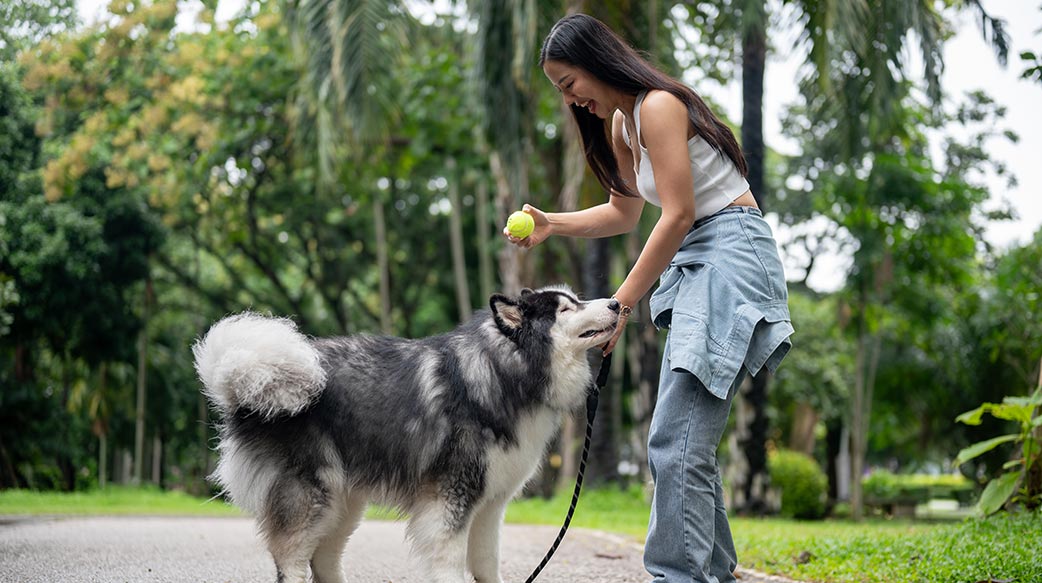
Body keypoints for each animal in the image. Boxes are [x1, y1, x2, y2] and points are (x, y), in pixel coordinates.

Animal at [193, 287, 616, 583]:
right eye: (566, 309)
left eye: (577, 299)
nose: (615, 303)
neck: (502, 373)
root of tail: (244, 386)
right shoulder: (450, 499)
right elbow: (451, 562)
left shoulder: (490, 505)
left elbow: (486, 563)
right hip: (311, 495)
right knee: (293, 559)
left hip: (344, 503)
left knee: (324, 559)